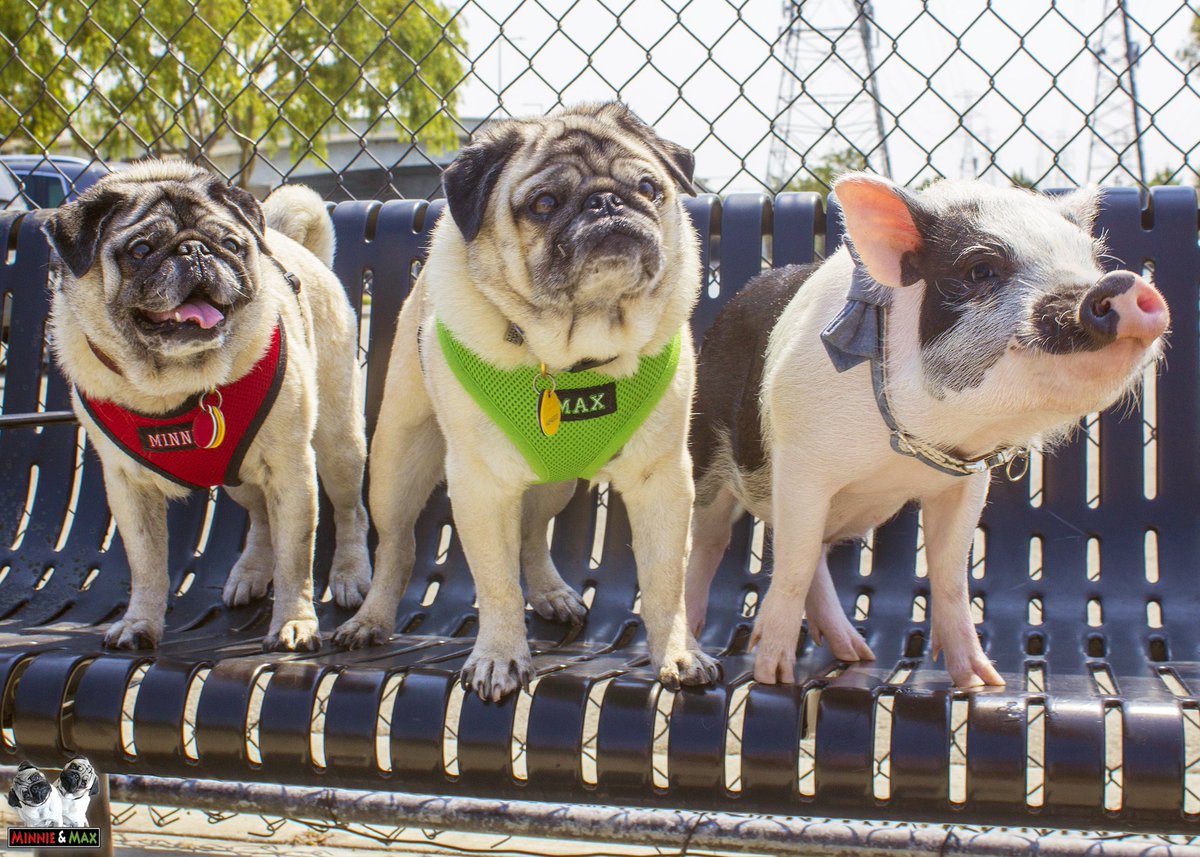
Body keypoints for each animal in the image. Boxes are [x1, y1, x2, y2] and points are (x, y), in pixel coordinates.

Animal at [686, 173, 1170, 687]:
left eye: (1091, 260)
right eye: (980, 269)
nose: (1121, 283)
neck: (909, 446)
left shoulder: (968, 480)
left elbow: (950, 571)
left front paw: (982, 681)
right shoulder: (800, 466)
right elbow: (791, 566)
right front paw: (772, 677)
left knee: (812, 555)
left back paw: (856, 654)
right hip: (707, 453)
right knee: (710, 542)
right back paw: (698, 646)